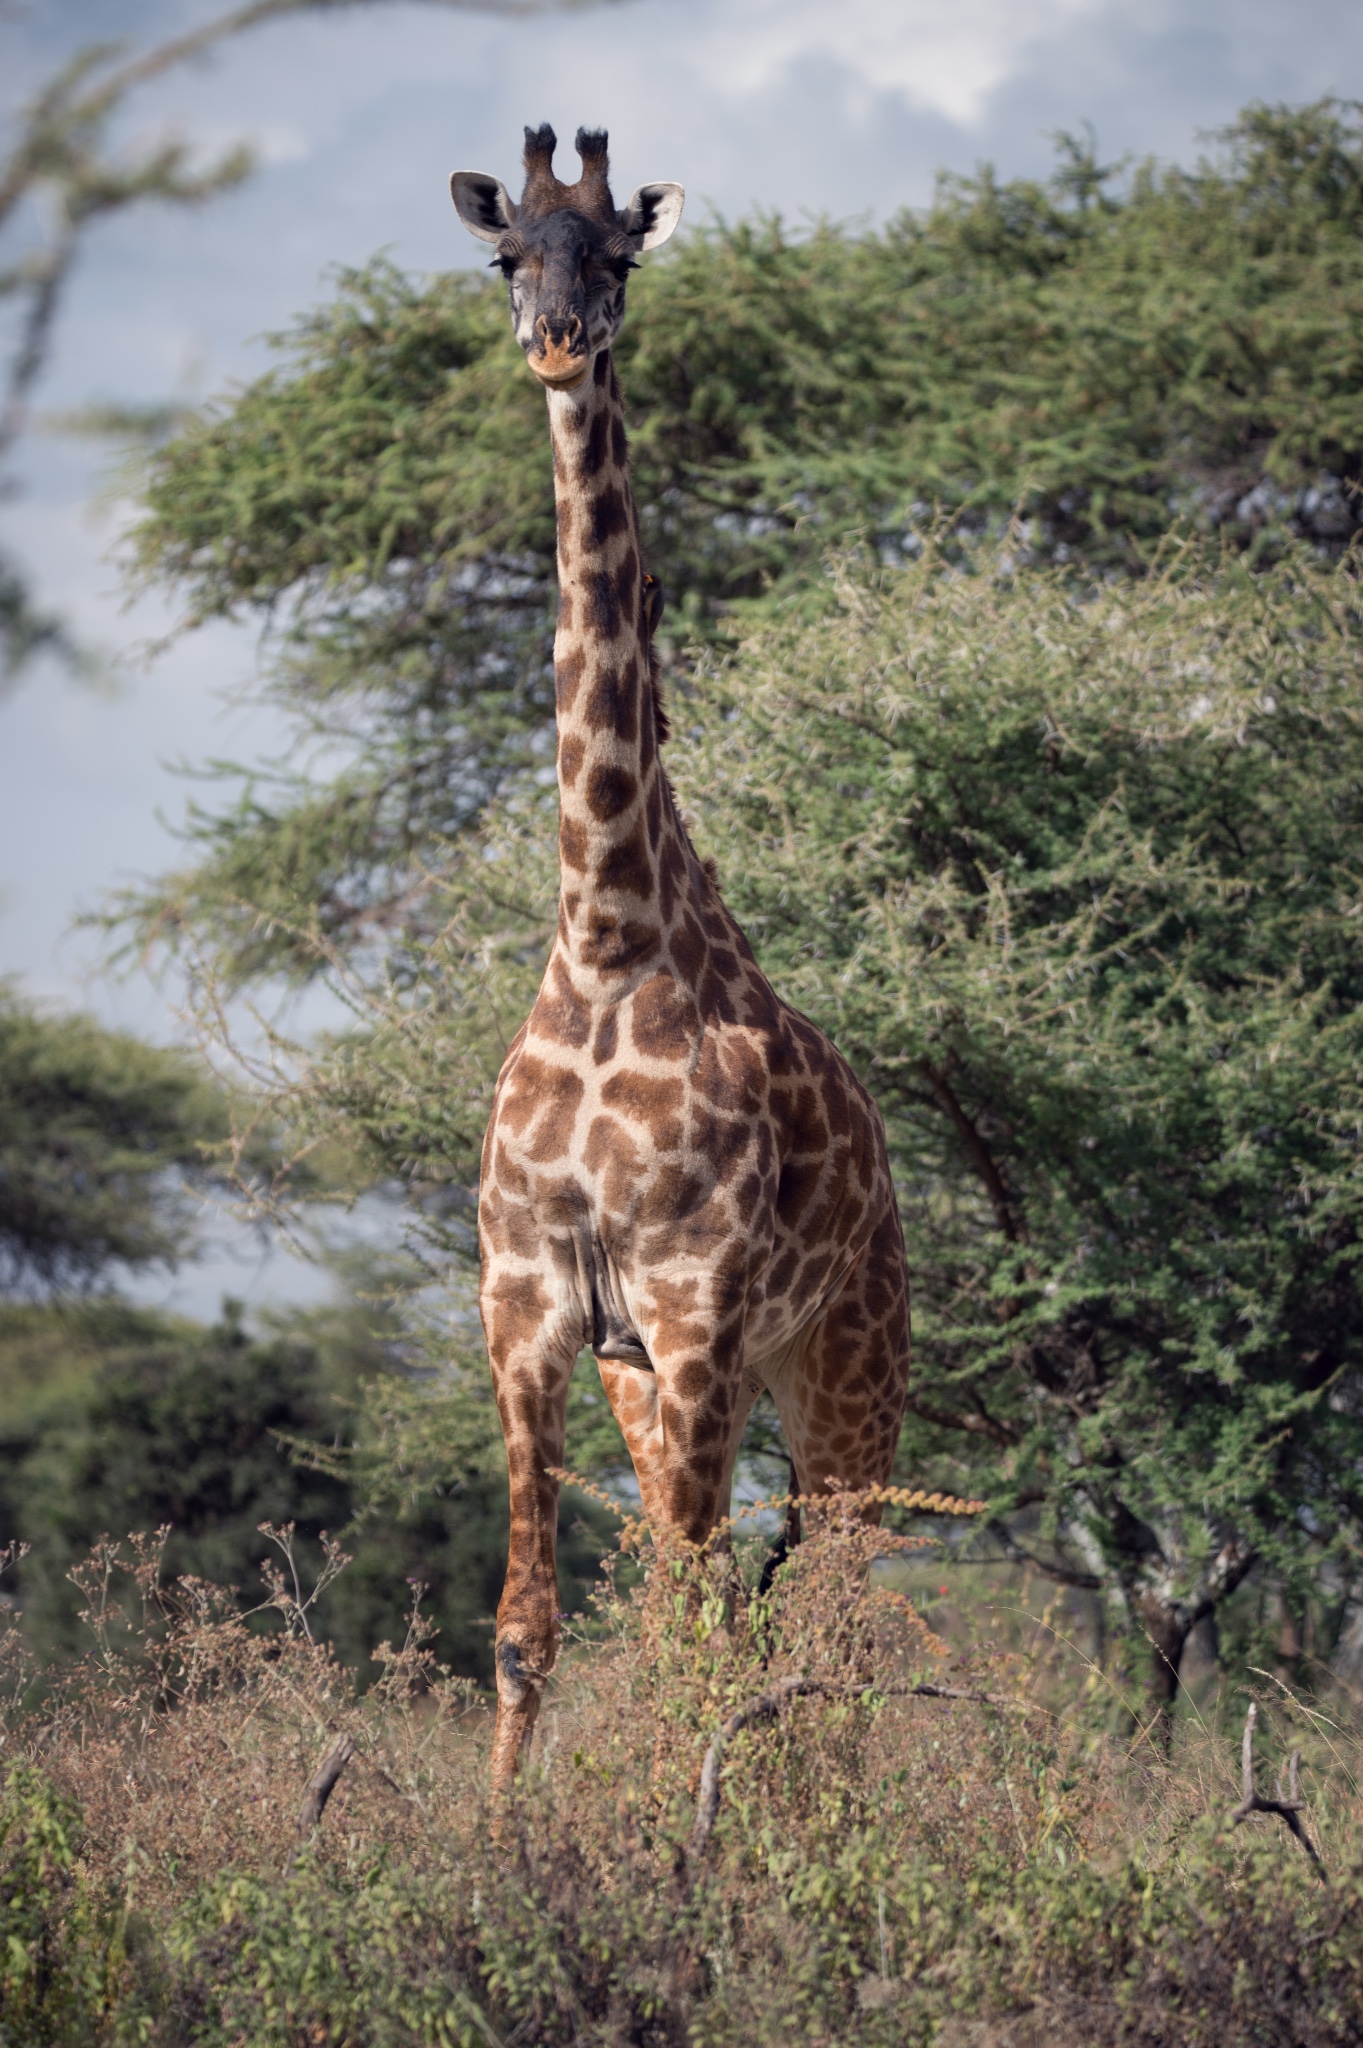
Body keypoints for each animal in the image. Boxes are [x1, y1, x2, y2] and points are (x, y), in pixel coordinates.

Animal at [450, 132, 908, 1794]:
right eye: (507, 254)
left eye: (619, 259)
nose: (556, 345)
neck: (602, 941)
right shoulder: (535, 1306)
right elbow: (530, 1630)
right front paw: (503, 1853)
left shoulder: (697, 1300)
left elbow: (690, 1643)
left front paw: (681, 1851)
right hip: (649, 1378)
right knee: (718, 1591)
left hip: (842, 1361)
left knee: (830, 1608)